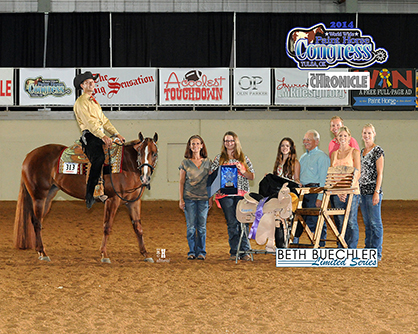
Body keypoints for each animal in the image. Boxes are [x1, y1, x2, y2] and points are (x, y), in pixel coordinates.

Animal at [13, 132, 158, 262]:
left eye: (154, 153)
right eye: (140, 153)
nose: (145, 177)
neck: (125, 165)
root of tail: (29, 155)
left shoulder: (134, 202)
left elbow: (138, 228)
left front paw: (145, 254)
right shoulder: (112, 200)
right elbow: (107, 227)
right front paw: (104, 255)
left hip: (48, 196)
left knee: (37, 220)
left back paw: (39, 251)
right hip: (39, 196)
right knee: (37, 222)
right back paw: (43, 253)